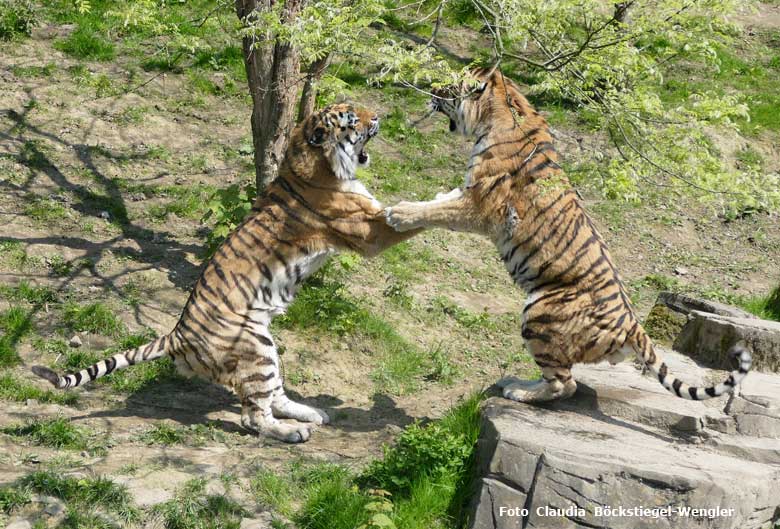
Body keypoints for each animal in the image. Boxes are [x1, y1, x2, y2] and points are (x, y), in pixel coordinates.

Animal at [33, 103, 420, 442]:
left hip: (266, 348)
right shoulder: (369, 230)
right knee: (254, 416)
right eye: (353, 119)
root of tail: (176, 336)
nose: (378, 116)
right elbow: (416, 216)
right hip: (255, 349)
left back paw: (312, 413)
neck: (315, 161)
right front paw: (425, 208)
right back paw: (293, 432)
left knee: (274, 396)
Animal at [386, 68, 752, 402]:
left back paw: (518, 391)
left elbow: (439, 212)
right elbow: (441, 202)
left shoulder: (481, 206)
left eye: (448, 86)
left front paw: (399, 214)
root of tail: (632, 325)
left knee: (565, 384)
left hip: (539, 314)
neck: (500, 113)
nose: (430, 91)